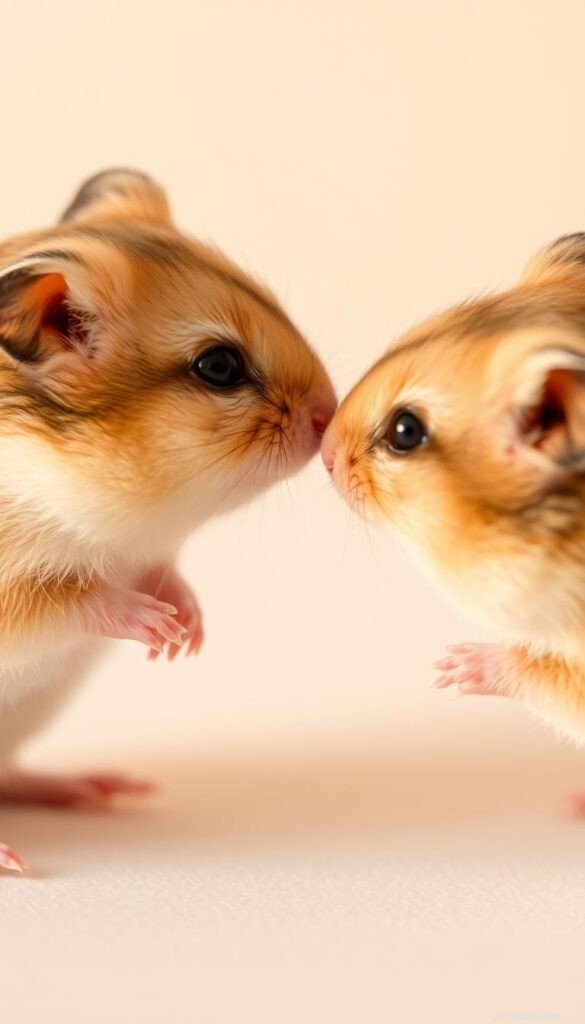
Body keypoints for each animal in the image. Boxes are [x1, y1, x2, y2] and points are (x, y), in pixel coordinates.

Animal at [0, 168, 336, 870]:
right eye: (219, 367)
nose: (331, 413)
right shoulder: (16, 594)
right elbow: (72, 599)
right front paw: (159, 631)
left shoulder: (149, 553)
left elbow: (167, 576)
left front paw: (189, 636)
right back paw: (13, 858)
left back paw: (98, 789)